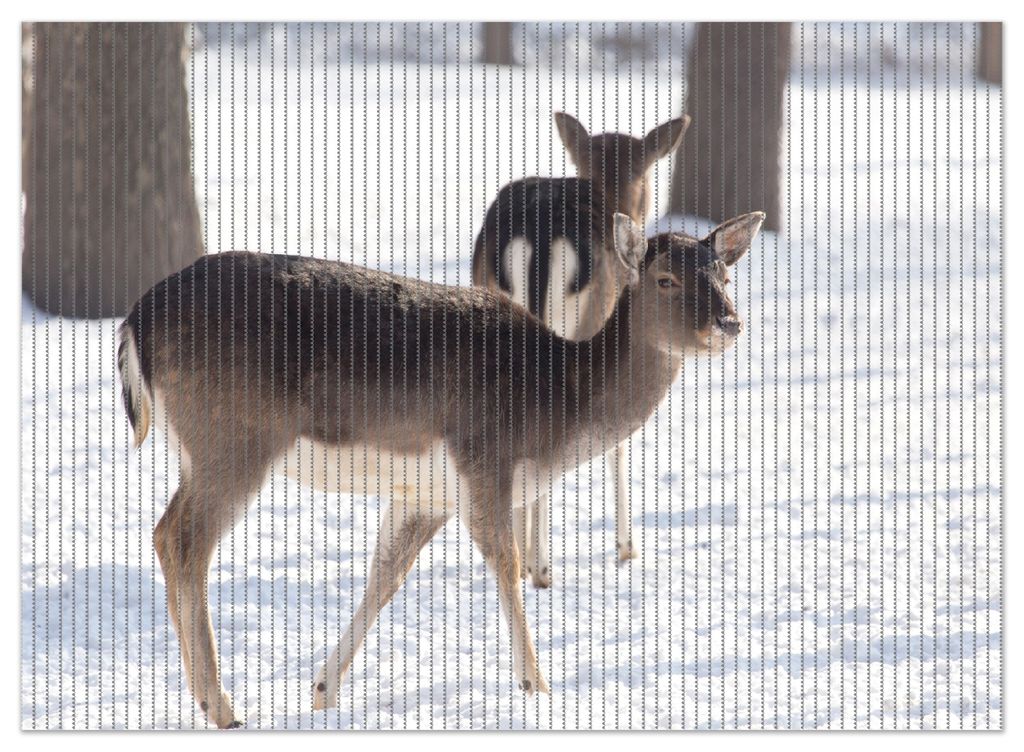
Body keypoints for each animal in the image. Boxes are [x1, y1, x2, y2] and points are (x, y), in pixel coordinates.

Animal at [117, 209, 761, 729]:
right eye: (665, 279)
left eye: (725, 278)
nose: (729, 323)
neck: (557, 407)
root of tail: (135, 323)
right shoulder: (485, 460)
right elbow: (507, 563)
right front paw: (538, 688)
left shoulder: (425, 494)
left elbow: (384, 576)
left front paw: (324, 690)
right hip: (235, 439)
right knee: (183, 538)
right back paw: (221, 705)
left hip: (197, 448)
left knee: (165, 533)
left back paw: (204, 696)